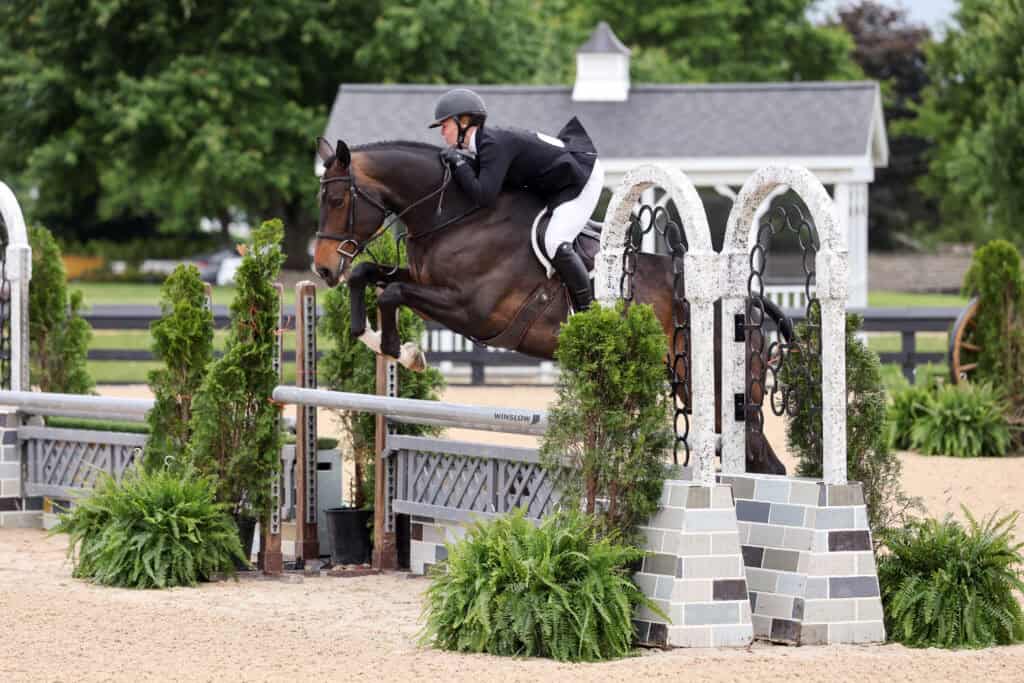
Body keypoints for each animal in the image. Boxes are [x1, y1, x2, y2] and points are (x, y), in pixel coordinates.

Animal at [312, 137, 786, 475]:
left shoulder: (471, 310)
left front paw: (402, 350)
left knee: (761, 459)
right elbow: (367, 275)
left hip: (716, 386)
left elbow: (390, 293)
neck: (457, 216)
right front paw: (378, 339)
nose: (322, 269)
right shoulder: (427, 284)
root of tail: (750, 303)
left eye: (337, 202)